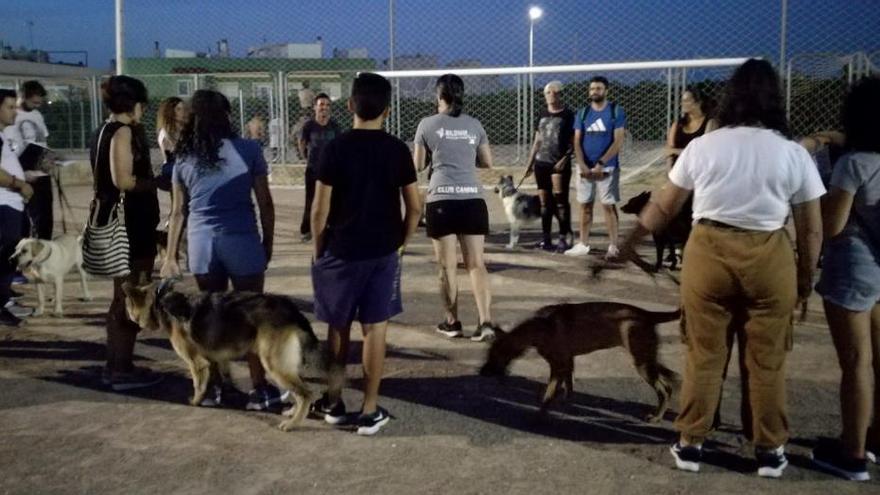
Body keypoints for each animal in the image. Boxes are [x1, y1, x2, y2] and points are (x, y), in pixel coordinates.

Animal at [122, 280, 324, 432]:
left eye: (127, 306)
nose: (125, 317)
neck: (159, 301)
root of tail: (291, 309)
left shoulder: (197, 362)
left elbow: (198, 385)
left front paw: (195, 402)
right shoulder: (219, 358)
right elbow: (223, 376)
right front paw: (222, 393)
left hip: (273, 364)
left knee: (306, 393)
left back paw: (292, 424)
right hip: (282, 365)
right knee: (300, 392)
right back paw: (293, 412)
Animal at [482, 302, 680, 422]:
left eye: (494, 355)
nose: (482, 372)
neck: (538, 328)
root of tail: (648, 314)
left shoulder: (558, 366)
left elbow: (548, 395)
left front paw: (540, 416)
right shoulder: (567, 362)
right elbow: (568, 389)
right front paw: (568, 406)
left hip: (642, 363)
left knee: (665, 389)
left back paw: (657, 417)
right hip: (646, 359)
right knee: (669, 381)